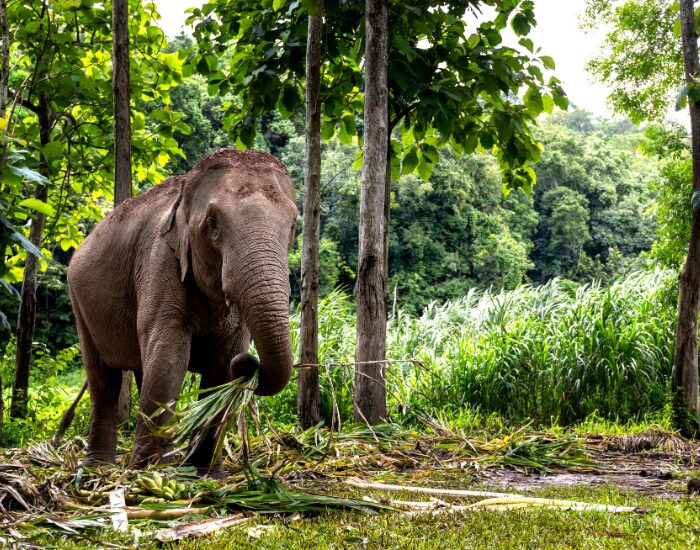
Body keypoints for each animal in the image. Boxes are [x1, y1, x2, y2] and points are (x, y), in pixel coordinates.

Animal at [67, 149, 298, 470]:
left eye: (293, 225)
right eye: (213, 223)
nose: (249, 364)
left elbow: (221, 366)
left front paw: (205, 472)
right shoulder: (159, 261)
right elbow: (169, 356)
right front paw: (150, 471)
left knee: (141, 368)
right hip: (80, 304)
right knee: (102, 380)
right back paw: (99, 467)